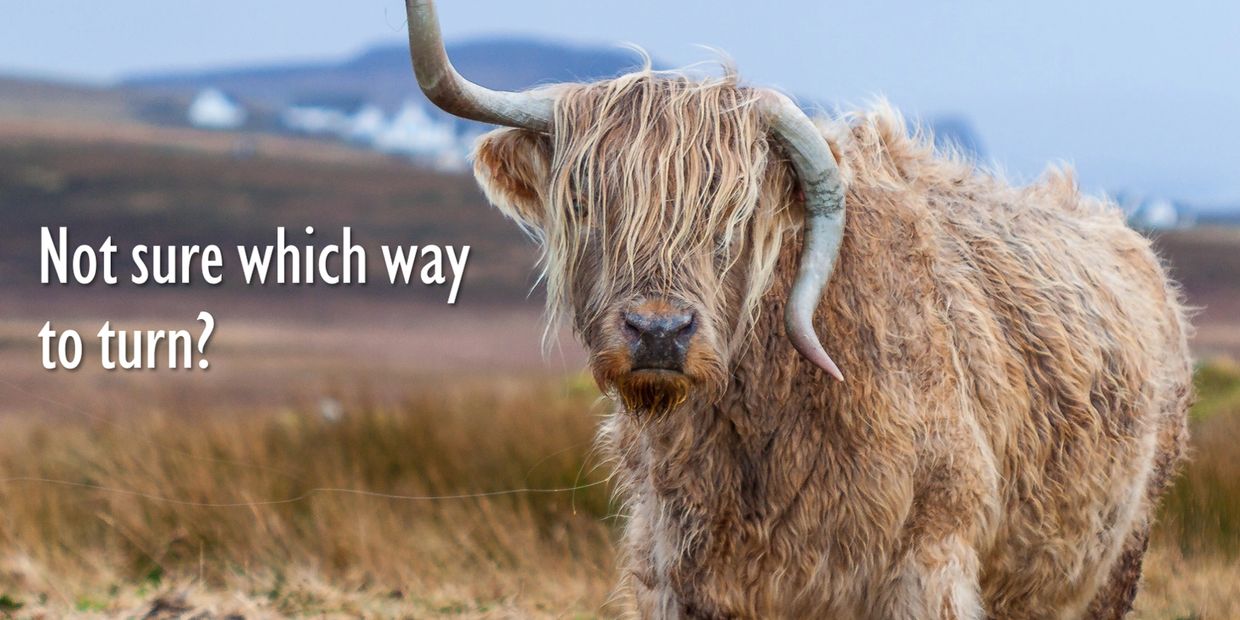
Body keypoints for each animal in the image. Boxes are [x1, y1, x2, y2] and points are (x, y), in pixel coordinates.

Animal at [403, 2, 1193, 618]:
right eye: (588, 202)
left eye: (735, 214)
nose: (659, 332)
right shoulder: (680, 574)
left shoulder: (927, 559)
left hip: (1119, 556)